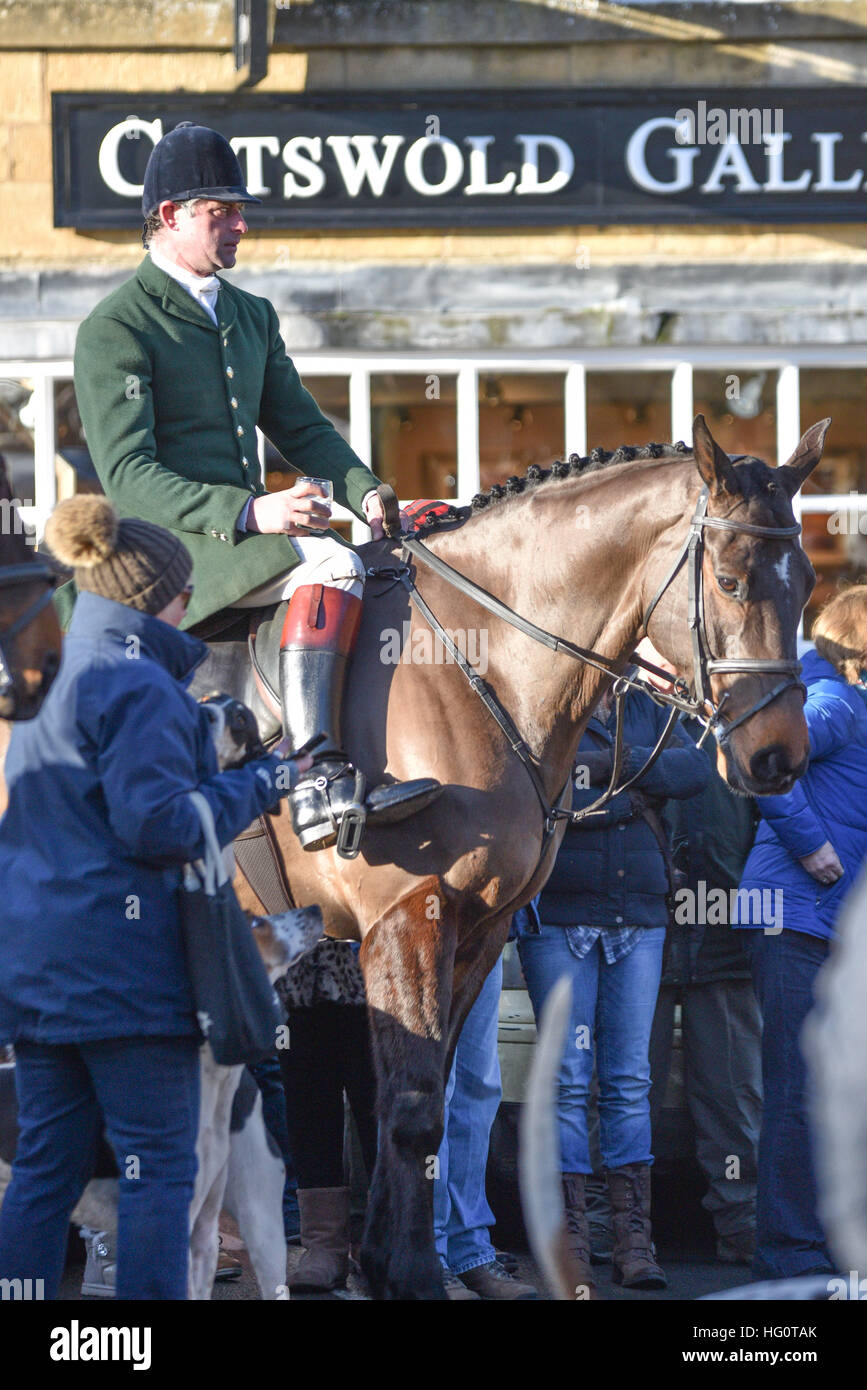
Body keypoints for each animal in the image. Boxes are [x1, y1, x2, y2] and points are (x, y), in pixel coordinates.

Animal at [234, 414, 828, 1301]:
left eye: (808, 583)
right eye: (728, 581)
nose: (778, 758)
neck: (468, 661)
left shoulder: (480, 929)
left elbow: (431, 1101)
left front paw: (391, 1265)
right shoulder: (407, 919)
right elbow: (411, 1112)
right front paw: (411, 1275)